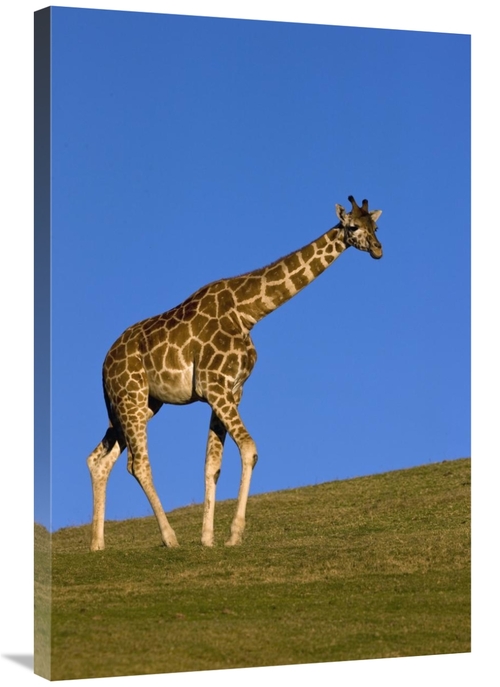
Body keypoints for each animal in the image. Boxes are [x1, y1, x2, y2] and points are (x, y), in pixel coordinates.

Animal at [87, 195, 383, 551]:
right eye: (352, 227)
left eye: (376, 226)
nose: (379, 249)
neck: (249, 311)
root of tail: (104, 363)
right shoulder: (215, 385)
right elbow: (250, 449)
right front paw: (234, 533)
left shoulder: (230, 390)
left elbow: (212, 466)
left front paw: (208, 538)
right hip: (130, 396)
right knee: (138, 463)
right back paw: (169, 538)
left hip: (138, 404)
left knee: (98, 459)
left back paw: (97, 545)